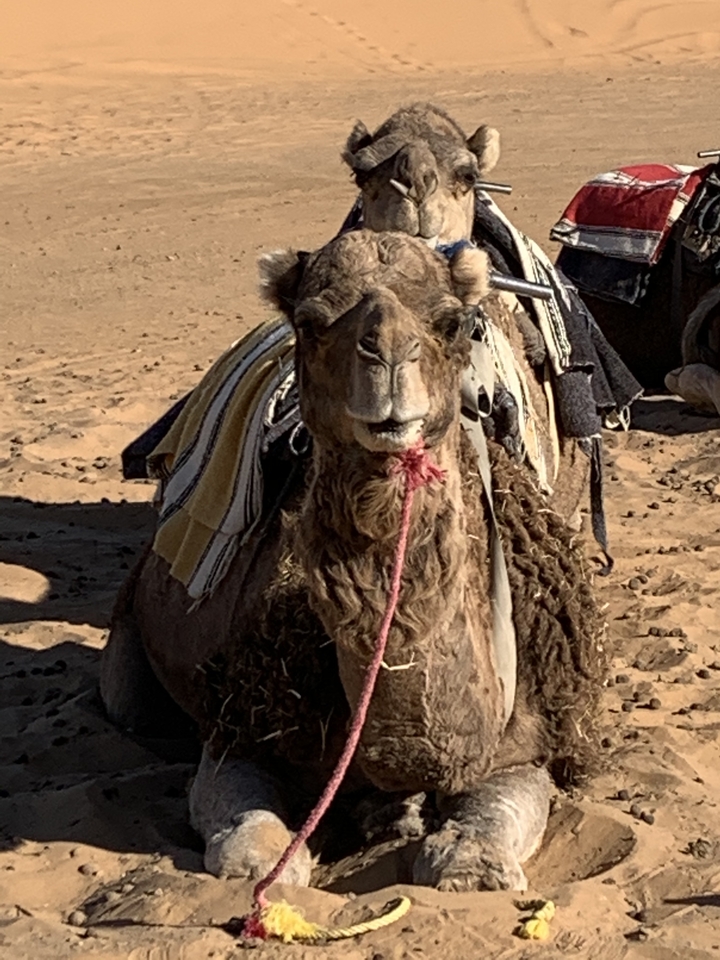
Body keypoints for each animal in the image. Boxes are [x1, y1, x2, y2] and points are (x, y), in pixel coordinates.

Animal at [101, 230, 605, 892]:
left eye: (452, 322)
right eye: (310, 322)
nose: (388, 356)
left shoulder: (524, 740)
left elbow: (484, 833)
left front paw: (461, 855)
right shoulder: (241, 724)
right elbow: (248, 847)